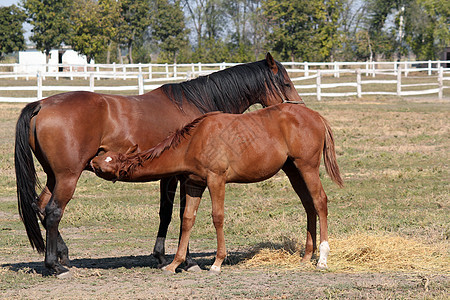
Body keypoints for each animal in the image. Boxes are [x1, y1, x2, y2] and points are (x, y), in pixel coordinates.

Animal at [92, 103, 344, 274]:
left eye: (109, 161)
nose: (93, 161)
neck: (194, 140)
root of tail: (316, 116)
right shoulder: (194, 184)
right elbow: (187, 219)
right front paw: (175, 263)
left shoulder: (216, 180)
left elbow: (217, 217)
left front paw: (217, 262)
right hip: (293, 170)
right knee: (309, 206)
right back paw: (306, 256)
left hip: (307, 167)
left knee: (320, 202)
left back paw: (322, 259)